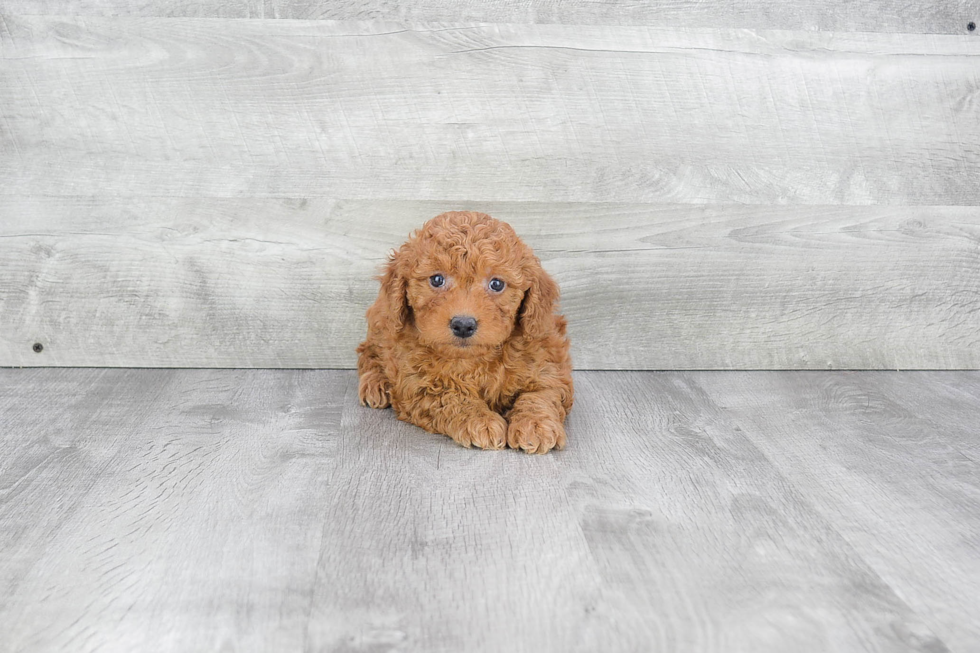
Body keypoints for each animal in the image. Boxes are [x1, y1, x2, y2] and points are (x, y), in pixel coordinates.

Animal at [358, 211, 576, 450]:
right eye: (437, 279)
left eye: (497, 284)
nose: (463, 324)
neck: (475, 359)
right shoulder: (417, 384)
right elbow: (451, 397)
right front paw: (481, 421)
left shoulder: (548, 363)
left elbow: (541, 394)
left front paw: (535, 425)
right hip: (383, 321)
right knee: (368, 352)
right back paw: (375, 384)